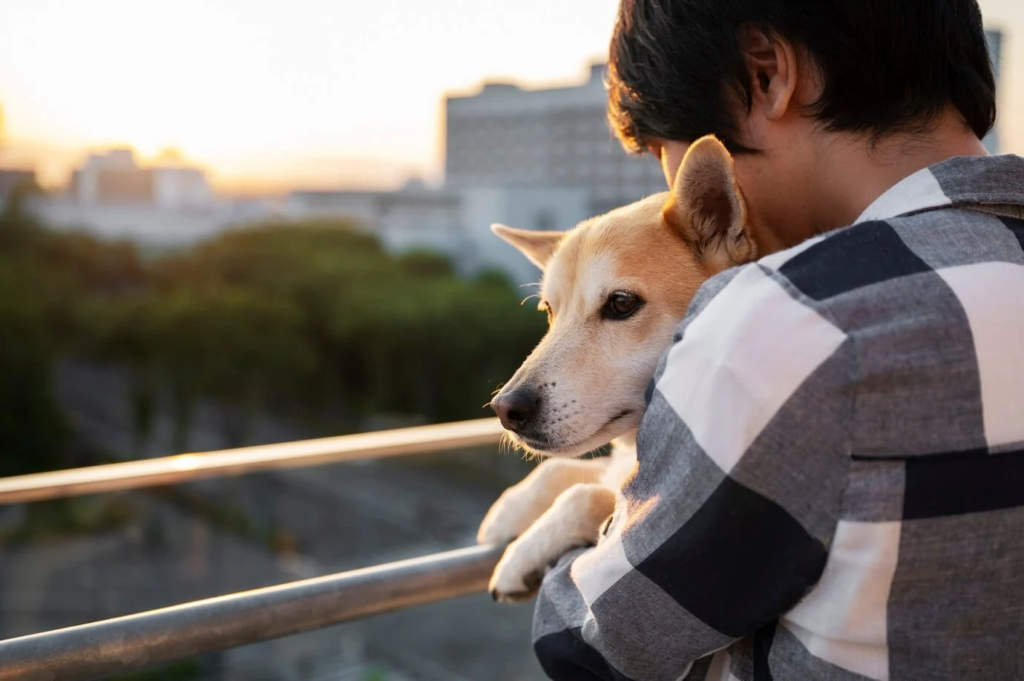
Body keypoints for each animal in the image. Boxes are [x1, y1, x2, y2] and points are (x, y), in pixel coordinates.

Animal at [475, 135, 757, 602]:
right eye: (548, 310)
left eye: (621, 304)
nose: (506, 409)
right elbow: (562, 469)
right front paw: (509, 509)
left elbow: (585, 496)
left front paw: (525, 551)